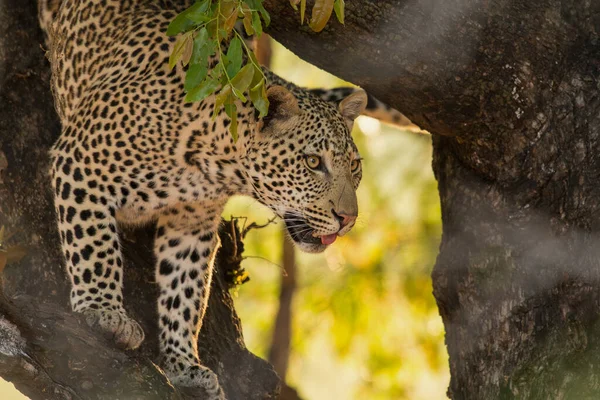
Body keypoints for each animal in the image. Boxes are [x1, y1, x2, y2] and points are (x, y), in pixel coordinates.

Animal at [37, 0, 410, 396]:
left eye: (354, 165)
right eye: (312, 162)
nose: (348, 218)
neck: (217, 163)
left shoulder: (191, 224)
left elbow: (184, 292)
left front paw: (183, 364)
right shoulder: (82, 163)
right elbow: (95, 247)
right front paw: (103, 312)